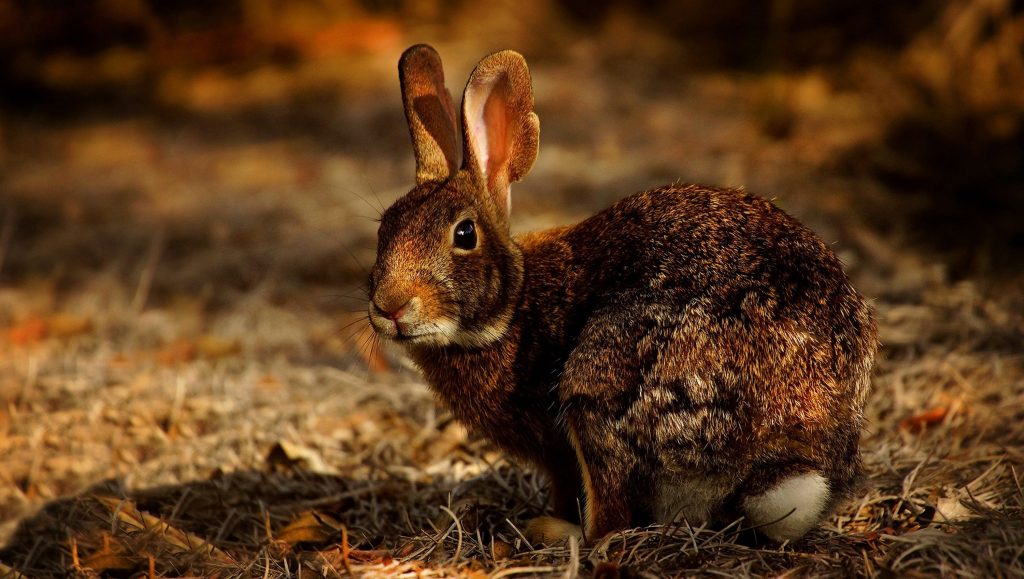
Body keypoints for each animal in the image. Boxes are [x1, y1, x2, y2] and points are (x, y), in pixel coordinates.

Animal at [366, 42, 872, 545]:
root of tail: (784, 445)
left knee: (610, 521)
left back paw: (553, 530)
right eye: (384, 228)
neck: (512, 308)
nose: (390, 307)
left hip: (599, 384)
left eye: (465, 234)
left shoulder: (560, 450)